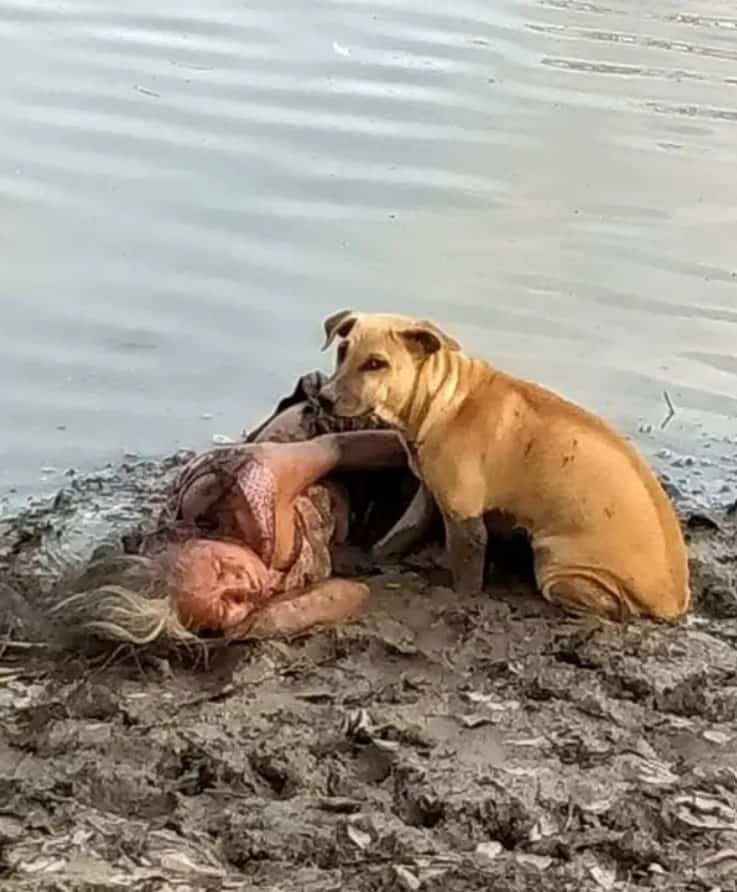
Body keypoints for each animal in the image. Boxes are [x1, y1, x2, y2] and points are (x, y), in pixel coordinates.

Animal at [318, 310, 688, 624]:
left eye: (376, 363)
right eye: (342, 351)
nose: (324, 397)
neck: (444, 400)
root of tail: (674, 601)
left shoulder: (465, 518)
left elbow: (466, 576)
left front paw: (460, 599)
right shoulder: (428, 495)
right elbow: (398, 535)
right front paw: (372, 557)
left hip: (560, 566)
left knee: (611, 607)